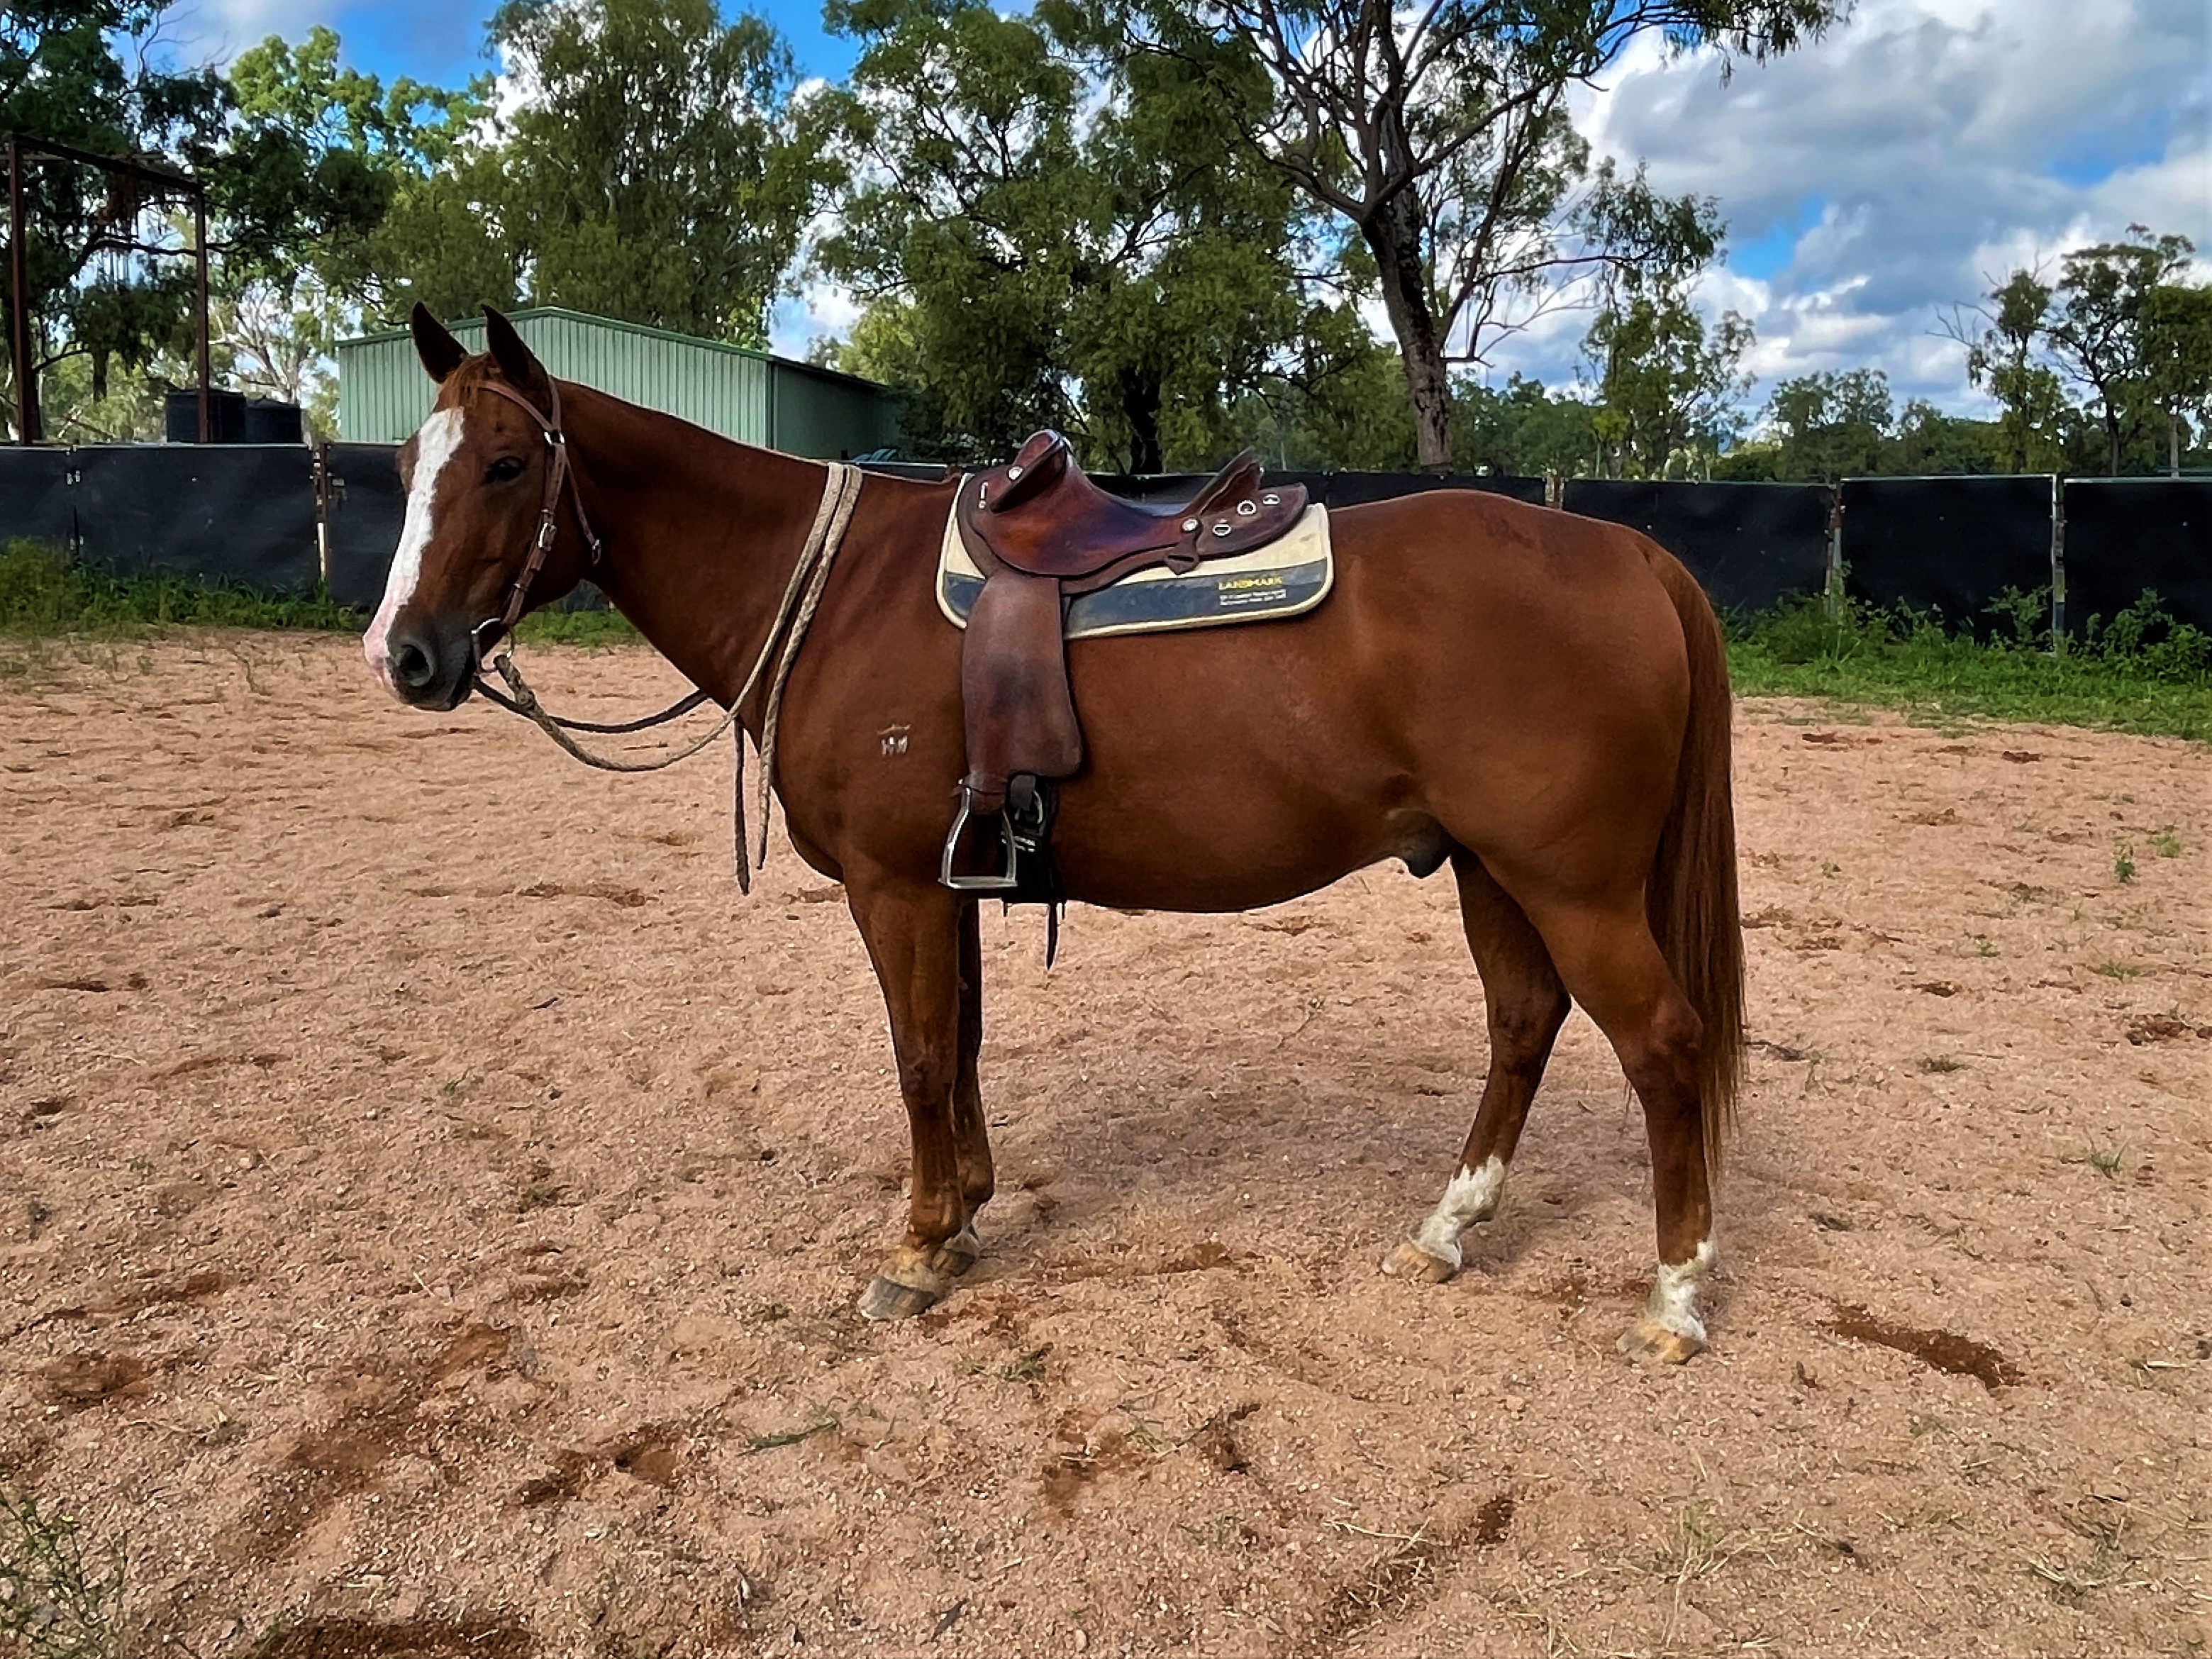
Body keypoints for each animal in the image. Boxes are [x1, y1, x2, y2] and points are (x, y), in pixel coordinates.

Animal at [364, 305, 1745, 1364]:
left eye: (505, 464)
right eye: (403, 466)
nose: (404, 654)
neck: (833, 590)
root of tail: (1625, 550)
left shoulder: (894, 887)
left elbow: (920, 1056)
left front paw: (918, 1247)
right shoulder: (950, 881)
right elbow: (960, 1046)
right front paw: (966, 1212)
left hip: (1571, 884)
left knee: (1660, 1043)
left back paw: (1673, 1297)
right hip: (1489, 868)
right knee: (1522, 1023)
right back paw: (1446, 1231)